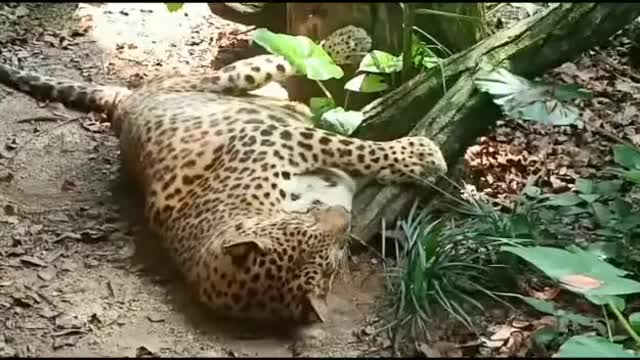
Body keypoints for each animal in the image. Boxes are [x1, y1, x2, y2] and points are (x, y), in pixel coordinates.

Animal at [0, 25, 448, 324]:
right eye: (328, 259)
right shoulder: (285, 143)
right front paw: (422, 155)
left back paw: (351, 39)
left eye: (303, 232)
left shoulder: (275, 138)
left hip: (229, 79)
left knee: (295, 57)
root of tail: (124, 100)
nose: (342, 221)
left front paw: (418, 153)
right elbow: (358, 151)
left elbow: (352, 147)